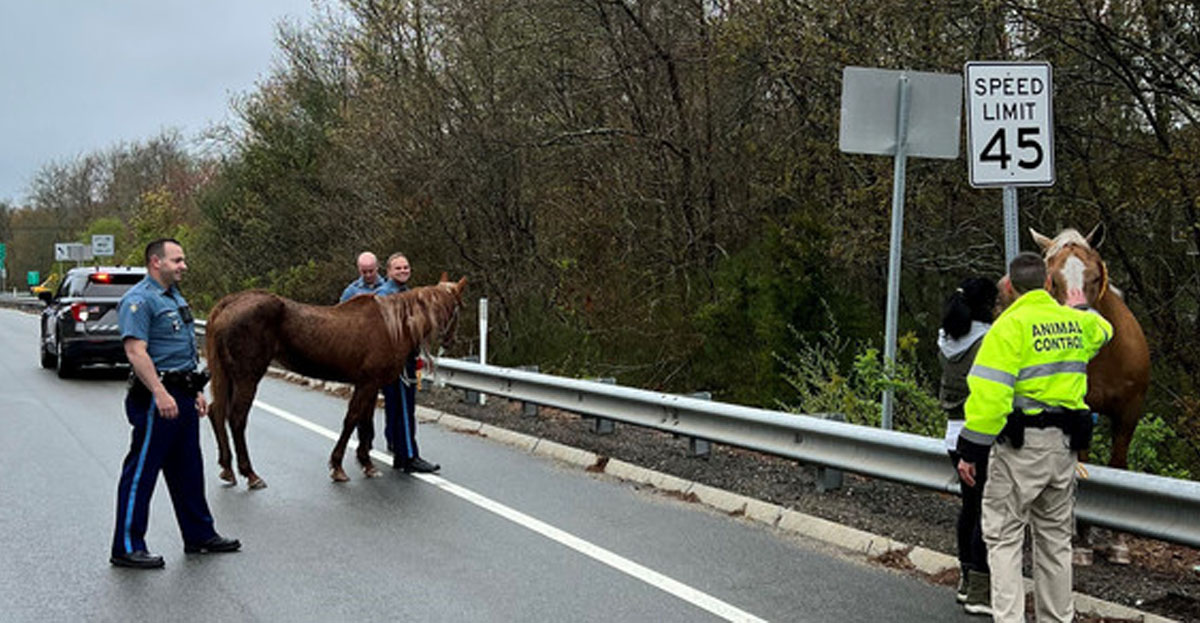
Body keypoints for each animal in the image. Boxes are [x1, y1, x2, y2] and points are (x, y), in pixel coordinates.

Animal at [204, 277, 465, 487]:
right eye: (459, 307)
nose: (451, 340)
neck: (393, 325)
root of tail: (230, 303)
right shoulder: (367, 384)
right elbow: (352, 420)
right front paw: (338, 467)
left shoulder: (371, 385)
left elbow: (365, 423)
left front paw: (367, 464)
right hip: (247, 377)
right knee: (237, 418)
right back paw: (250, 474)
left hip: (228, 376)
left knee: (216, 412)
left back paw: (227, 468)